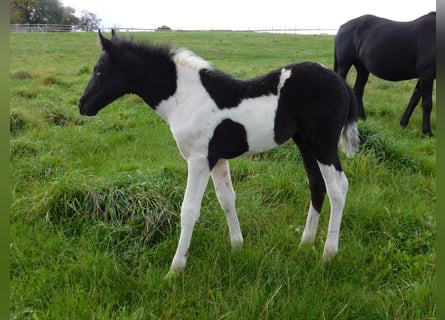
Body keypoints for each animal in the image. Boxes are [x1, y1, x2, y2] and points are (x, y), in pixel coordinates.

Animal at [78, 30, 360, 278]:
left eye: (99, 70)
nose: (83, 106)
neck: (186, 98)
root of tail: (341, 83)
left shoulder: (199, 161)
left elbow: (189, 210)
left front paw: (175, 269)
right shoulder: (218, 160)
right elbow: (227, 199)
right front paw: (237, 246)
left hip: (323, 144)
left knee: (338, 188)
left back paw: (328, 253)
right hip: (304, 143)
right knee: (317, 185)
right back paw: (305, 243)